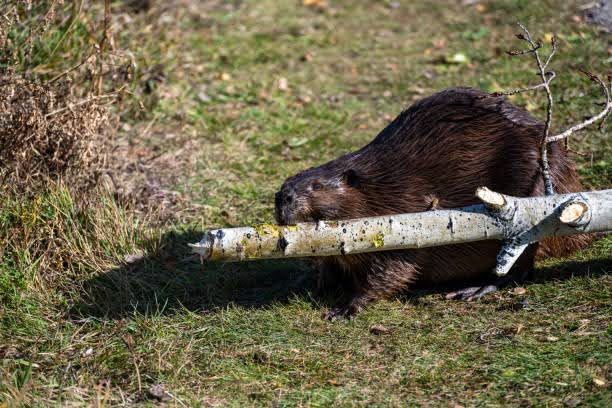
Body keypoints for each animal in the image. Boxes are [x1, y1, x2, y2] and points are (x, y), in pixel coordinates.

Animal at [274, 87, 592, 320]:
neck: (377, 188)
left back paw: (473, 289)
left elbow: (393, 271)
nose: (283, 197)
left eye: (317, 186)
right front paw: (316, 284)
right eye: (289, 181)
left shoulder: (404, 214)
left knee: (518, 263)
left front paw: (344, 308)